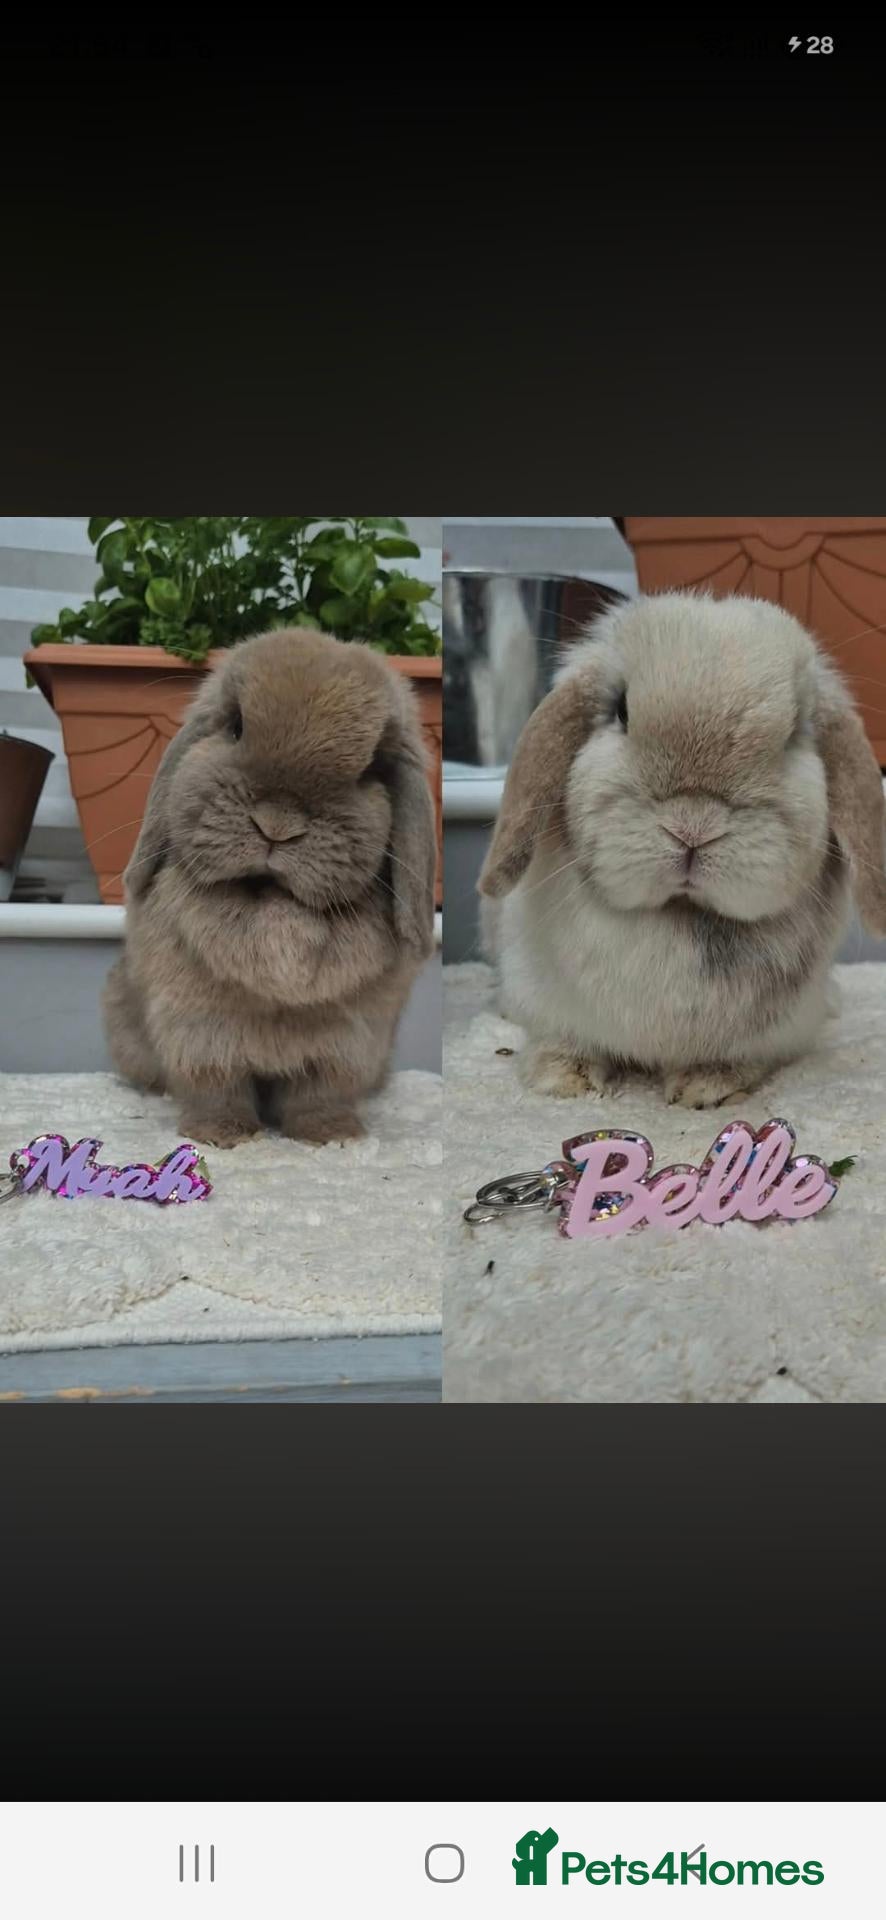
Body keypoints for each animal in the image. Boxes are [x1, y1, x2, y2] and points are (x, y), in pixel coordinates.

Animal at [103, 628, 437, 1147]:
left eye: (371, 769)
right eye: (236, 726)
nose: (278, 825)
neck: (272, 909)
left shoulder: (345, 1043)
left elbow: (319, 1094)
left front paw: (333, 1136)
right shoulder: (198, 1032)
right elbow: (216, 1087)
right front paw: (222, 1135)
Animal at [478, 591, 886, 1109]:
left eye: (796, 731)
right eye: (621, 710)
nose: (693, 827)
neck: (680, 914)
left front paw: (705, 1088)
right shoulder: (544, 1000)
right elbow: (563, 1041)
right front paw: (566, 1081)